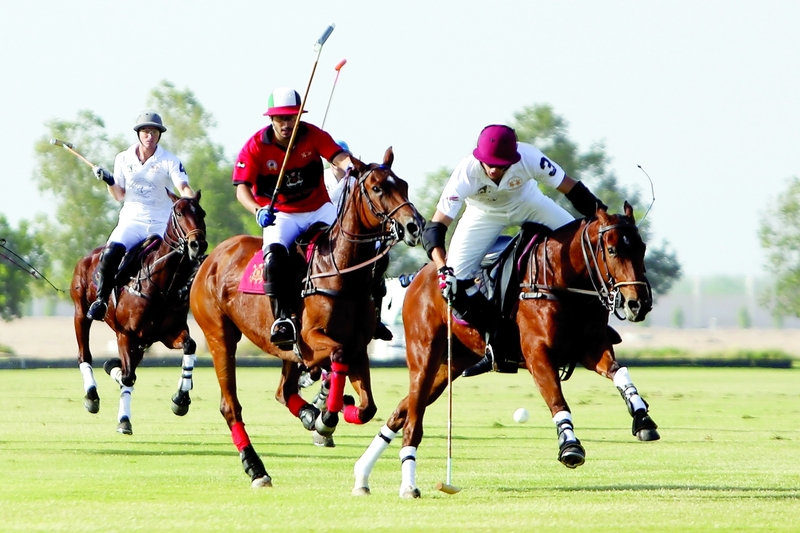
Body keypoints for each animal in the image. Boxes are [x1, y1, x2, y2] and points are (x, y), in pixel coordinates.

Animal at [70, 189, 206, 434]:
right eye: (179, 213)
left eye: (202, 213)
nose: (198, 245)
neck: (163, 285)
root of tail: (88, 256)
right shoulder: (126, 335)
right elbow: (128, 377)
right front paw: (124, 420)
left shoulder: (169, 332)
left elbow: (189, 346)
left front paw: (181, 399)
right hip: (81, 313)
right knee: (85, 355)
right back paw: (92, 396)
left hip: (143, 342)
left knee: (125, 367)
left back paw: (111, 367)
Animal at [191, 148, 424, 488]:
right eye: (378, 188)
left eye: (404, 184)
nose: (414, 226)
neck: (341, 271)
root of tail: (210, 259)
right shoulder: (312, 341)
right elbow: (336, 356)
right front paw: (328, 417)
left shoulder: (358, 347)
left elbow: (368, 407)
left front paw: (336, 411)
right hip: (220, 336)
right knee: (230, 406)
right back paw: (257, 468)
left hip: (282, 352)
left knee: (283, 391)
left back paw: (309, 415)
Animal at [354, 202, 656, 496]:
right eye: (612, 250)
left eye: (642, 248)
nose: (638, 304)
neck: (561, 281)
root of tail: (420, 274)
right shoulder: (538, 354)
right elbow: (556, 399)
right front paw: (570, 446)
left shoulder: (592, 347)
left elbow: (620, 372)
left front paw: (643, 419)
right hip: (424, 357)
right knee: (413, 420)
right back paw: (407, 484)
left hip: (452, 364)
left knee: (401, 411)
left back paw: (362, 476)